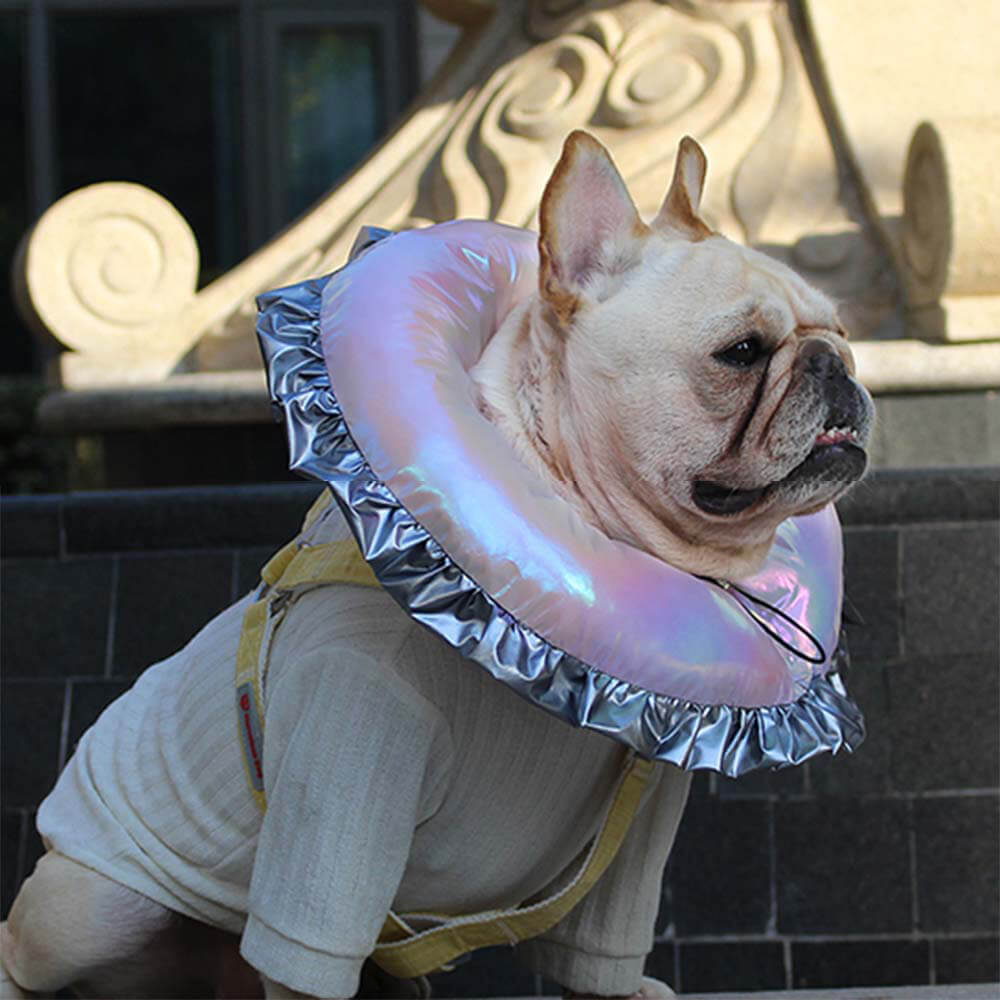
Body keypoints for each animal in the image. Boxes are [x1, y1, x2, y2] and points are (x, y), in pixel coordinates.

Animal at [0, 135, 872, 1000]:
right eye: (741, 353)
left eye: (839, 329)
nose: (836, 363)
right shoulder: (346, 762)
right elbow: (310, 945)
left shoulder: (646, 807)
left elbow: (605, 942)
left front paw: (620, 992)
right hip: (89, 908)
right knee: (32, 947)